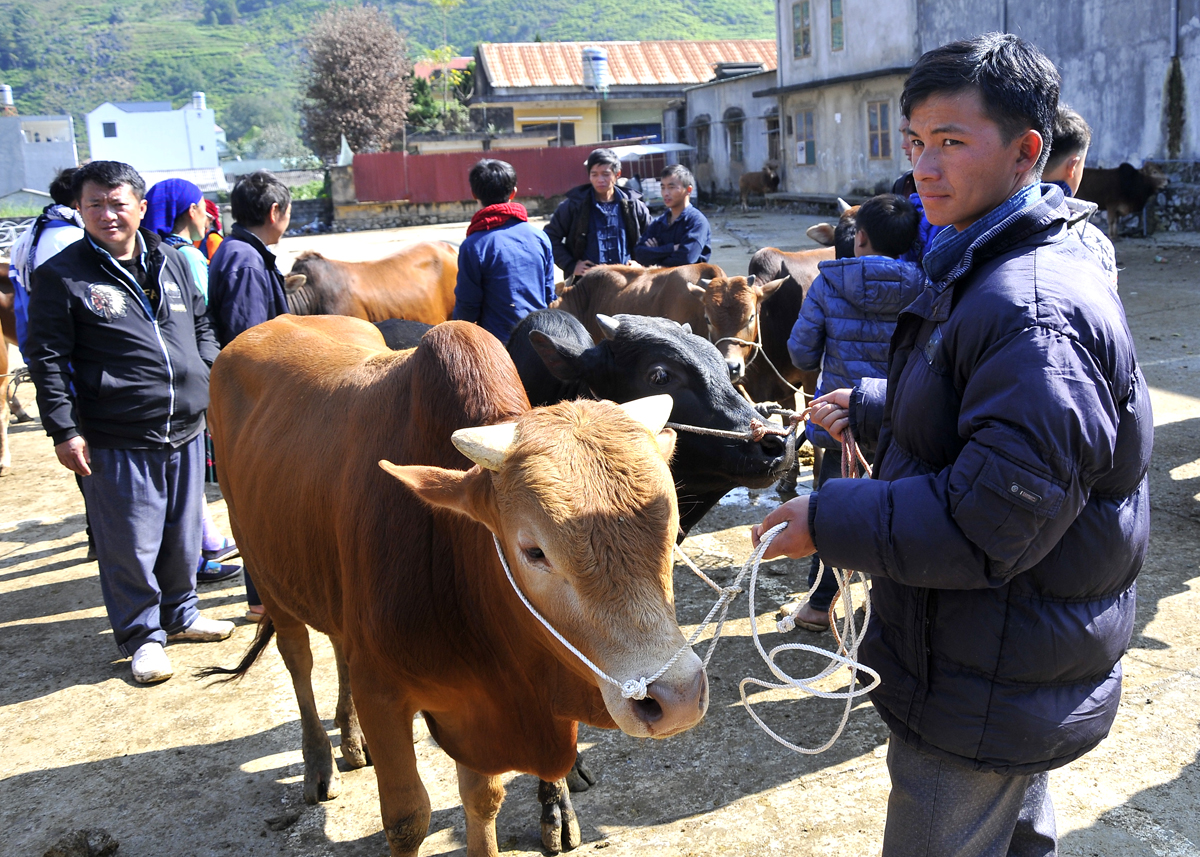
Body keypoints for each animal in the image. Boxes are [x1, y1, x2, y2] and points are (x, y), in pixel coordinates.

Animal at [208, 314, 700, 854]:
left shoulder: (476, 706)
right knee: (299, 659)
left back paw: (352, 738)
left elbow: (482, 799)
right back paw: (318, 762)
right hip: (268, 577)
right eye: (533, 551)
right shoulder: (382, 692)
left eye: (673, 527)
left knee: (337, 644)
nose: (677, 698)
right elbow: (406, 818)